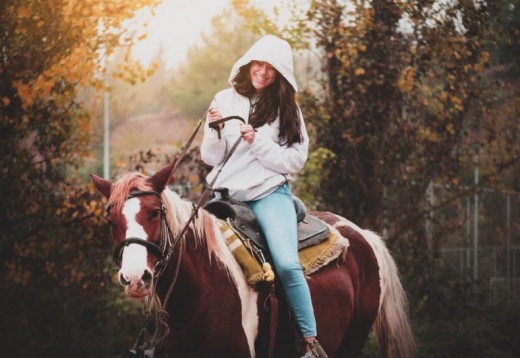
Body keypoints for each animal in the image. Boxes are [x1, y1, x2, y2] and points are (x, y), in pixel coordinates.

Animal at [89, 160, 414, 358]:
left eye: (155, 212)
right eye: (110, 220)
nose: (135, 278)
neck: (198, 296)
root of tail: (362, 234)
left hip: (352, 340)